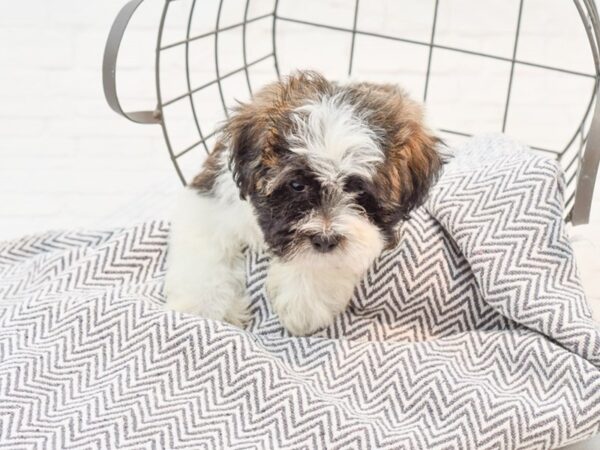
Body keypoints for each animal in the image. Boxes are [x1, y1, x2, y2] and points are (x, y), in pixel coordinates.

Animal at [164, 70, 440, 336]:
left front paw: (306, 299)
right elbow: (203, 250)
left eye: (359, 190)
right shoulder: (212, 198)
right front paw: (201, 308)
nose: (325, 240)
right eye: (297, 185)